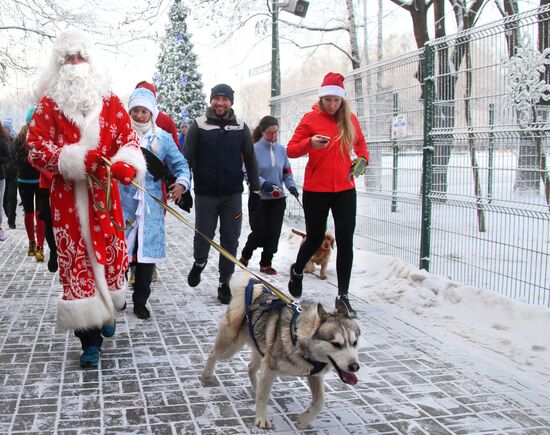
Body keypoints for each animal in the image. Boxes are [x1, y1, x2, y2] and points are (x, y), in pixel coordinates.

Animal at [203, 278, 362, 430]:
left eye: (354, 342)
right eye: (336, 344)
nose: (355, 367)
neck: (298, 337)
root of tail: (256, 293)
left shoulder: (314, 375)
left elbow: (320, 402)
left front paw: (304, 420)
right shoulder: (270, 368)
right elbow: (263, 398)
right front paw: (261, 419)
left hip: (260, 350)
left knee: (251, 368)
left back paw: (256, 386)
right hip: (230, 347)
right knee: (212, 353)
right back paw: (206, 374)